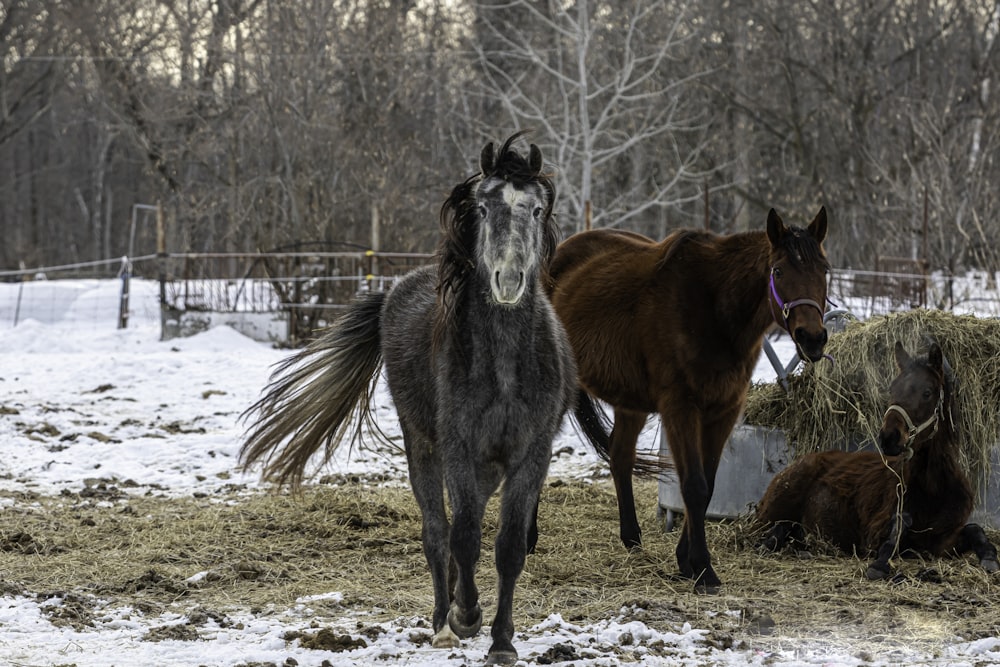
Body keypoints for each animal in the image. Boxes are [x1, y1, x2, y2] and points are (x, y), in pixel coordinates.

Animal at [237, 133, 576, 664]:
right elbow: (462, 537)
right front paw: (466, 616)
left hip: (487, 466)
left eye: (538, 209)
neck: (504, 365)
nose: (508, 280)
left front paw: (502, 640)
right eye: (483, 206)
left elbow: (508, 547)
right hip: (423, 446)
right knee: (438, 533)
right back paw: (443, 622)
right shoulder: (457, 447)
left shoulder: (532, 453)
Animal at [548, 207, 828, 588]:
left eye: (824, 269)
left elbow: (707, 487)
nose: (812, 338)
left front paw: (686, 561)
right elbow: (693, 485)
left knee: (620, 456)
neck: (713, 309)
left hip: (630, 402)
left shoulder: (723, 410)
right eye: (779, 270)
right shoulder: (680, 408)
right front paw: (703, 568)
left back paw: (632, 538)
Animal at [756, 342, 1000, 580]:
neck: (933, 488)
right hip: (774, 511)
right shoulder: (872, 536)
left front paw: (990, 559)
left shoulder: (941, 541)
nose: (889, 438)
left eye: (927, 392)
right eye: (892, 389)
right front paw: (880, 564)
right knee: (776, 527)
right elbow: (899, 526)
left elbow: (975, 529)